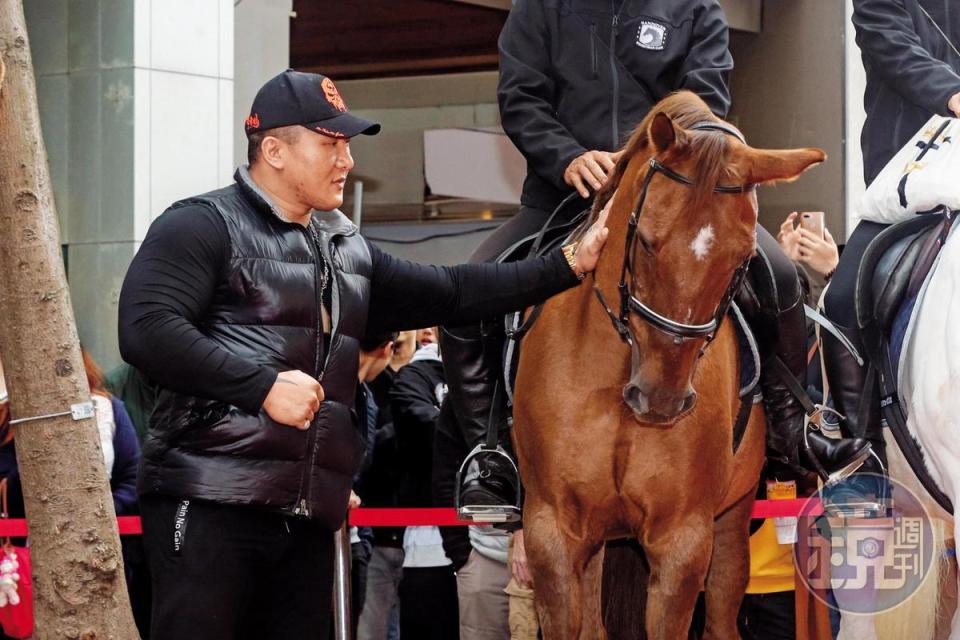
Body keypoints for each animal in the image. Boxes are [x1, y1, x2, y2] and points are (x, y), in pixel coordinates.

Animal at [512, 91, 828, 640]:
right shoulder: (553, 532)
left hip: (731, 521)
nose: (660, 400)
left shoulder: (682, 539)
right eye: (644, 240)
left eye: (742, 260)